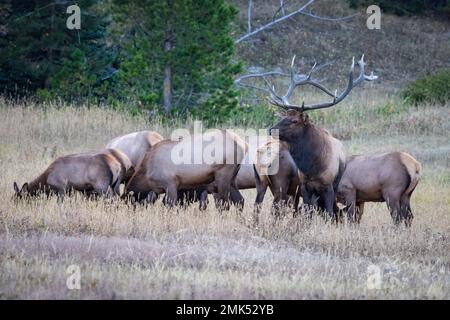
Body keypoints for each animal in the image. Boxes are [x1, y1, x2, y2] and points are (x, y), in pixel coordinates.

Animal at [237, 55, 378, 220]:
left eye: (294, 120)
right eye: (284, 116)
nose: (271, 129)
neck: (313, 167)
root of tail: (264, 155)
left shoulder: (324, 185)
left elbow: (315, 211)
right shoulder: (309, 186)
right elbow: (322, 212)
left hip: (261, 182)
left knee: (257, 207)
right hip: (280, 184)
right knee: (275, 210)